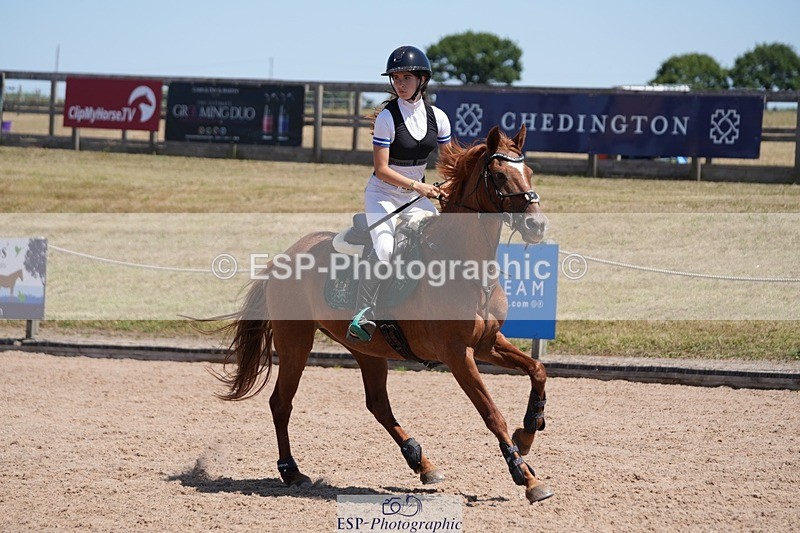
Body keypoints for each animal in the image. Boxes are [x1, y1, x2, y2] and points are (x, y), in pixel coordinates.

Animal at [214, 124, 554, 503]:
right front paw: (525, 476)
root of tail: (282, 257)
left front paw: (527, 433)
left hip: (367, 349)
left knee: (378, 404)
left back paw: (421, 461)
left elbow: (537, 370)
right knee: (281, 403)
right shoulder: (458, 355)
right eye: (499, 175)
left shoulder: (487, 343)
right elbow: (492, 414)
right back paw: (292, 471)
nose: (538, 226)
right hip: (295, 344)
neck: (464, 261)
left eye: (529, 172)